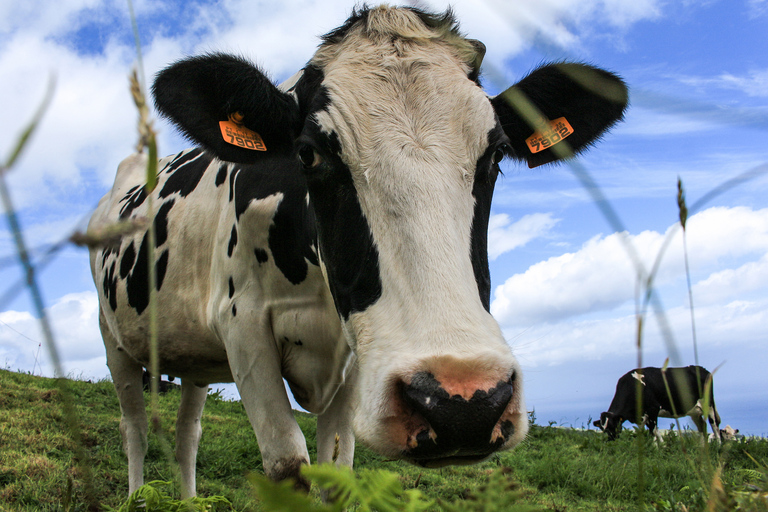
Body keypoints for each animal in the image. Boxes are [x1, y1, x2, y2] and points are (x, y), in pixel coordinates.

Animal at [91, 6, 632, 498]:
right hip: (113, 339)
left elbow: (335, 472)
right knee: (134, 427)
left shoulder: (356, 354)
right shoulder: (242, 326)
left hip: (194, 359)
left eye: (497, 154)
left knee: (187, 433)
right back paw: (135, 494)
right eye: (308, 153)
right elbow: (287, 465)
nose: (463, 403)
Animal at [592, 366, 720, 442]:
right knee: (702, 427)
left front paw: (655, 450)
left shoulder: (653, 409)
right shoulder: (643, 416)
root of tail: (702, 369)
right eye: (603, 429)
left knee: (715, 426)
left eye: (614, 426)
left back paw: (718, 447)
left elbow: (652, 432)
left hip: (709, 405)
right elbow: (653, 432)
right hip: (694, 411)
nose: (611, 441)